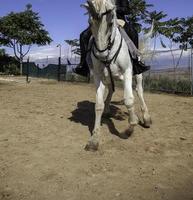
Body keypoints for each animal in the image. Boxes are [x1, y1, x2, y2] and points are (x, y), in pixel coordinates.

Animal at [83, 0, 152, 151]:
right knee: (111, 90)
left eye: (110, 23)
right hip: (109, 78)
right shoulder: (98, 76)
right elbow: (98, 104)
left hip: (137, 74)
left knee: (139, 91)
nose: (102, 55)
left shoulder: (127, 71)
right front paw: (94, 139)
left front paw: (130, 128)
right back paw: (108, 110)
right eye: (90, 23)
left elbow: (129, 100)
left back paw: (146, 118)